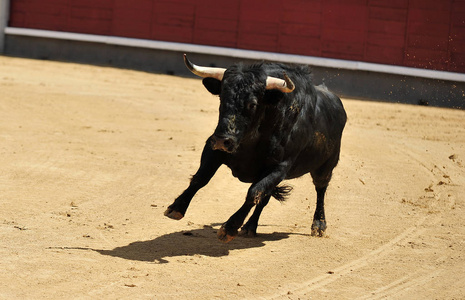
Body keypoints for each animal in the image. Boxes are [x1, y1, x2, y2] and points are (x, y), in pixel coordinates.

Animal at [165, 55, 346, 243]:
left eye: (252, 104)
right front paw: (176, 208)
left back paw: (319, 225)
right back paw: (250, 227)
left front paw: (229, 228)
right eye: (222, 98)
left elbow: (254, 192)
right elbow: (201, 177)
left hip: (326, 166)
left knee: (320, 189)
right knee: (265, 198)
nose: (223, 140)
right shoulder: (213, 148)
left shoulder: (280, 167)